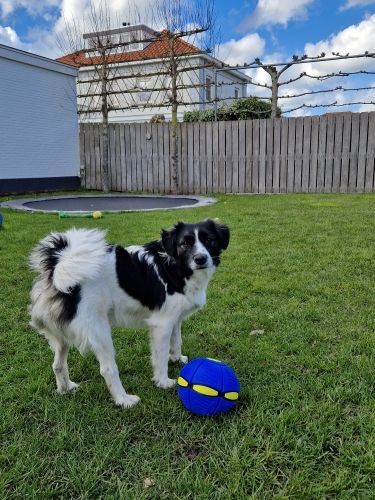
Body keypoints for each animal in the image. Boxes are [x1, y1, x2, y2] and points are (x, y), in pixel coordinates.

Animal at [29, 221, 229, 408]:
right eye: (184, 244)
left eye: (209, 240)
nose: (200, 259)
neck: (173, 266)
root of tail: (57, 266)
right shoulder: (161, 324)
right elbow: (161, 356)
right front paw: (163, 382)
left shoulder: (175, 319)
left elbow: (176, 341)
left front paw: (177, 359)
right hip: (99, 331)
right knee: (107, 369)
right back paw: (123, 400)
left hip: (61, 335)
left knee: (57, 365)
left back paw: (66, 389)